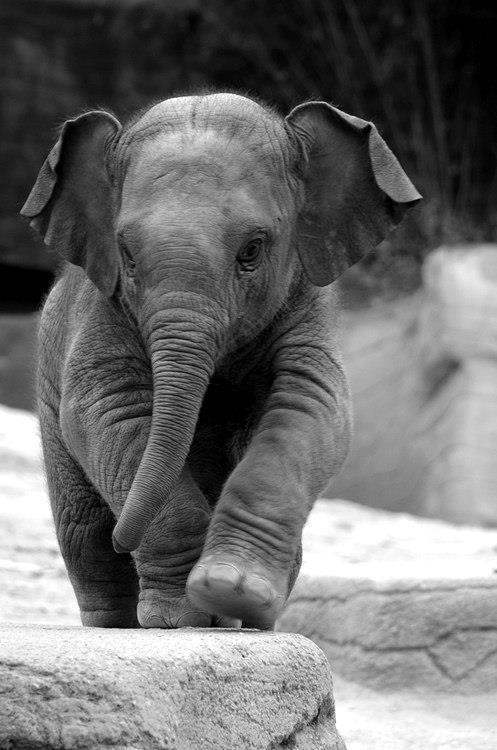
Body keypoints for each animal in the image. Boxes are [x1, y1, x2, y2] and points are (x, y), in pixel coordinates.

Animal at [21, 92, 420, 630]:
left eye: (252, 250)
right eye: (127, 255)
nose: (124, 537)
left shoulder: (306, 308)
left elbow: (310, 409)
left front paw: (232, 591)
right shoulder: (101, 311)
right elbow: (110, 411)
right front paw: (182, 618)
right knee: (84, 533)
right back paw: (121, 623)